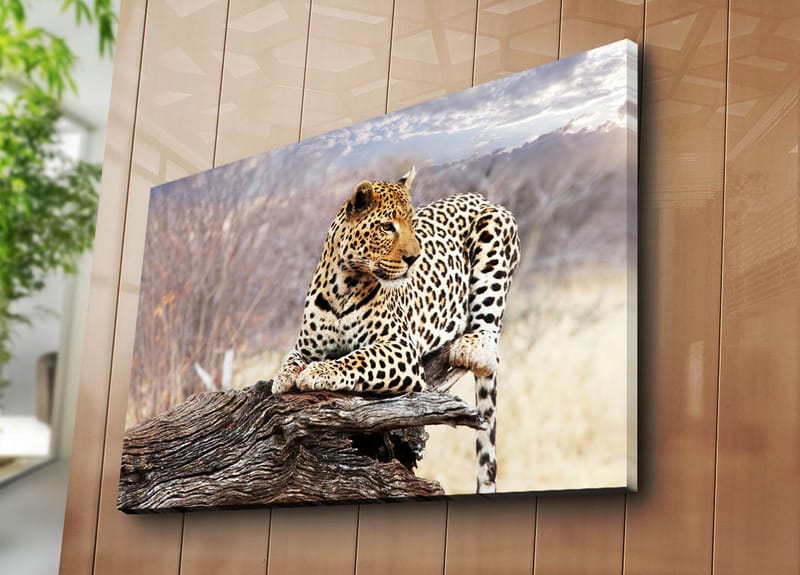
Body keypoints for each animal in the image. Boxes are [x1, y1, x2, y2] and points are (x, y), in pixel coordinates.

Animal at [272, 167, 520, 493]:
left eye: (412, 225)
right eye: (387, 227)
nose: (414, 258)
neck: (343, 285)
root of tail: (478, 196)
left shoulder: (400, 348)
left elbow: (358, 358)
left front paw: (318, 372)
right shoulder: (306, 346)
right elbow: (291, 359)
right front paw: (283, 378)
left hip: (494, 235)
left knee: (490, 339)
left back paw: (472, 346)